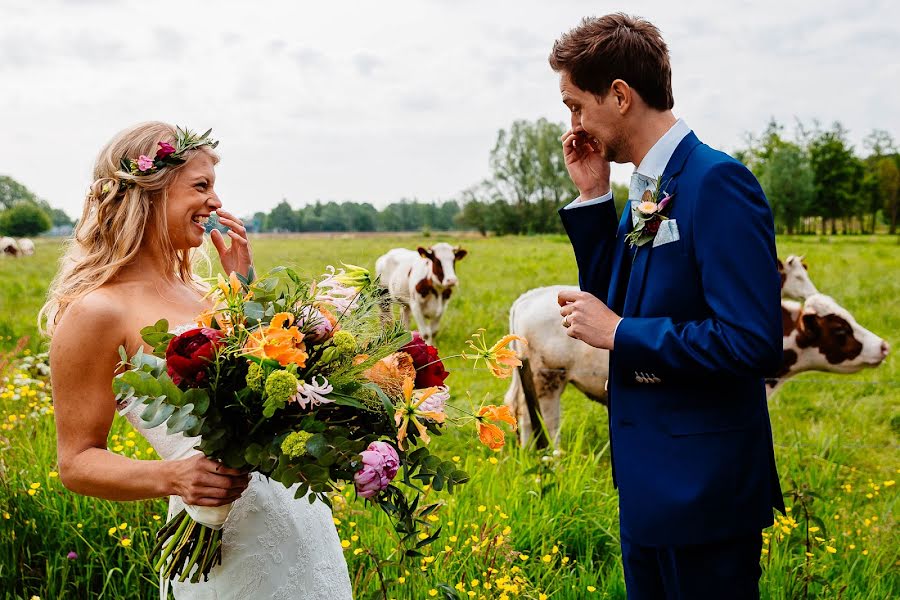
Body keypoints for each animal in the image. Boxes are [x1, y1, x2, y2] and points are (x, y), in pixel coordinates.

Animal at [502, 284, 888, 448]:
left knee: (523, 416)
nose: (883, 346)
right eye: (840, 330)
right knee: (547, 424)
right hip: (549, 379)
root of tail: (530, 297)